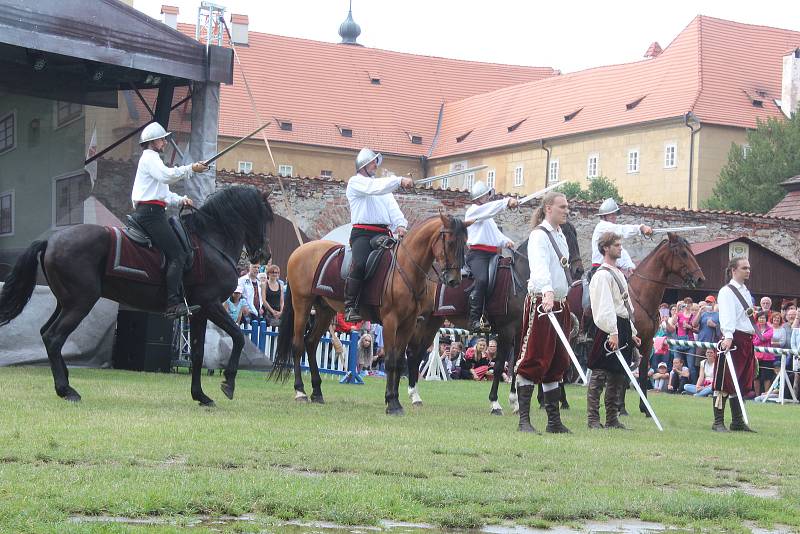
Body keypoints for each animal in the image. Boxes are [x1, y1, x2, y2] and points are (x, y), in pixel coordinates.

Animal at [270, 214, 468, 414]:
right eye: (450, 243)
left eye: (465, 244)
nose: (454, 280)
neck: (405, 268)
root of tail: (300, 250)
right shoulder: (390, 321)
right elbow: (390, 361)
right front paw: (392, 403)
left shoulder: (408, 323)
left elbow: (399, 361)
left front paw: (395, 400)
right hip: (302, 304)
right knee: (297, 345)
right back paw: (300, 392)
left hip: (325, 310)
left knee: (310, 343)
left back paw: (317, 392)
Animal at [406, 222, 580, 414]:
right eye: (564, 238)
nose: (579, 270)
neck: (520, 278)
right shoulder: (506, 331)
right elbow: (498, 366)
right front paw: (495, 403)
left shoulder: (520, 332)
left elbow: (516, 364)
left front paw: (515, 402)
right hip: (422, 322)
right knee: (412, 352)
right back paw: (412, 394)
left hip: (432, 323)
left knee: (418, 352)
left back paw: (415, 395)